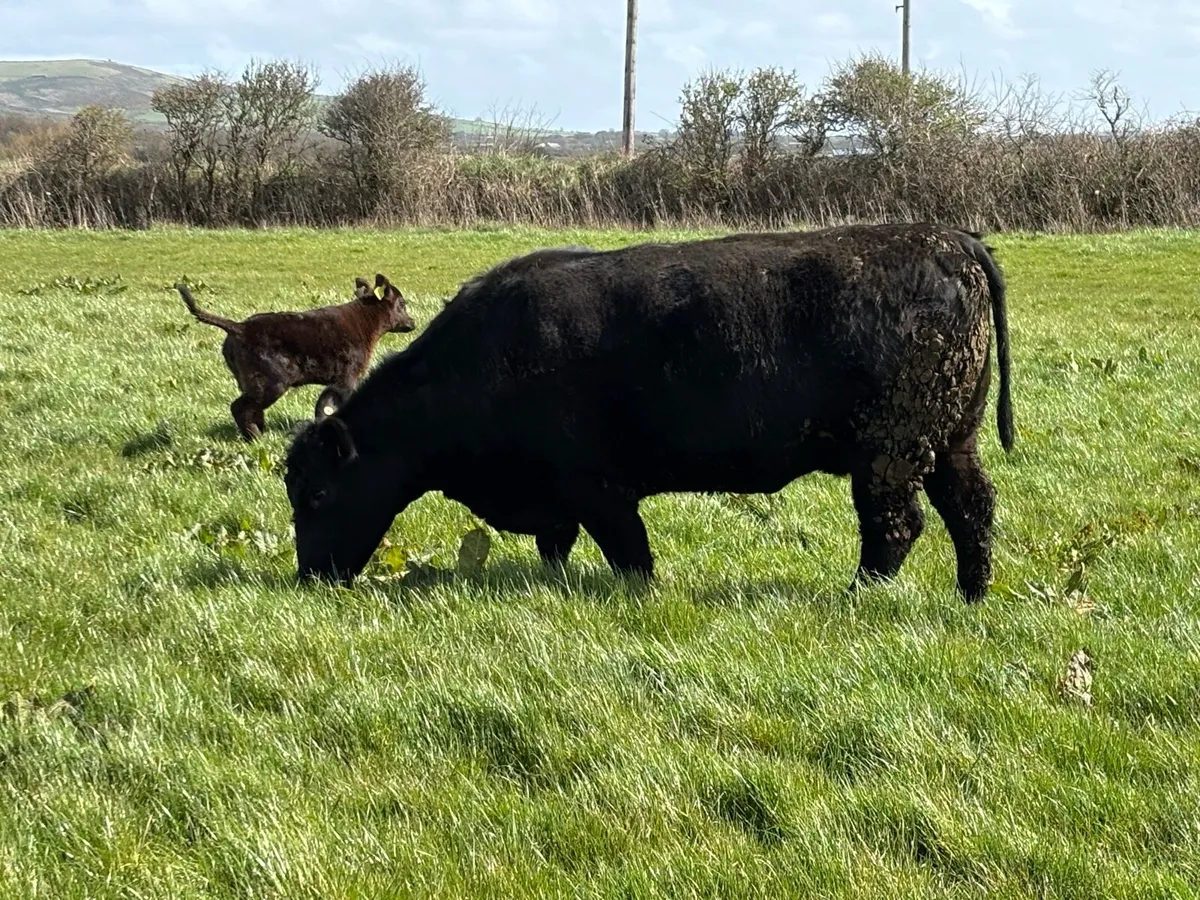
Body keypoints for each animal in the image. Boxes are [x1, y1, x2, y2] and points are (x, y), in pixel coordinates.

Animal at [282, 223, 1014, 601]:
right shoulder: (562, 498)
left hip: (890, 456)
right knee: (970, 508)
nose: (309, 575)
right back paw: (972, 594)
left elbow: (629, 553)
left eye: (316, 494)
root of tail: (947, 238)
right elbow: (557, 544)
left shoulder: (599, 489)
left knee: (896, 526)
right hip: (951, 441)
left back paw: (857, 596)